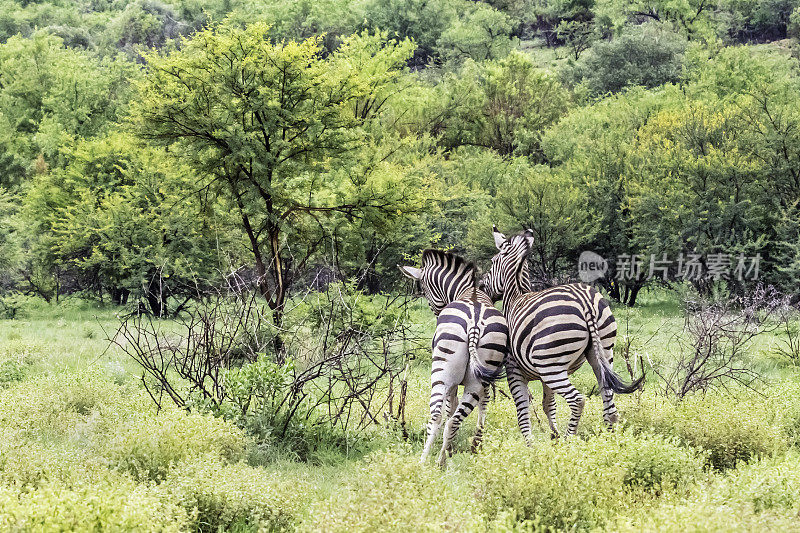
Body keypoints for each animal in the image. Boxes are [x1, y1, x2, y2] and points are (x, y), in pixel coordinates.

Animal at [398, 247, 506, 464]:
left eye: (425, 291)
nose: (437, 313)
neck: (469, 291)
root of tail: (475, 322)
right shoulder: (486, 380)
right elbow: (484, 404)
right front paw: (476, 444)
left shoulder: (453, 383)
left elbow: (450, 407)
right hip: (478, 376)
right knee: (454, 420)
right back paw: (441, 460)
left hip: (442, 371)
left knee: (437, 416)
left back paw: (427, 461)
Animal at [476, 227, 644, 438]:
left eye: (492, 262)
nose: (481, 287)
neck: (516, 296)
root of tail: (585, 301)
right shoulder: (542, 376)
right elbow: (548, 405)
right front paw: (553, 438)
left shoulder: (514, 369)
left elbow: (523, 413)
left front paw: (538, 443)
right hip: (603, 353)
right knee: (610, 407)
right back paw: (608, 440)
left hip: (552, 366)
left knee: (578, 400)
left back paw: (568, 439)